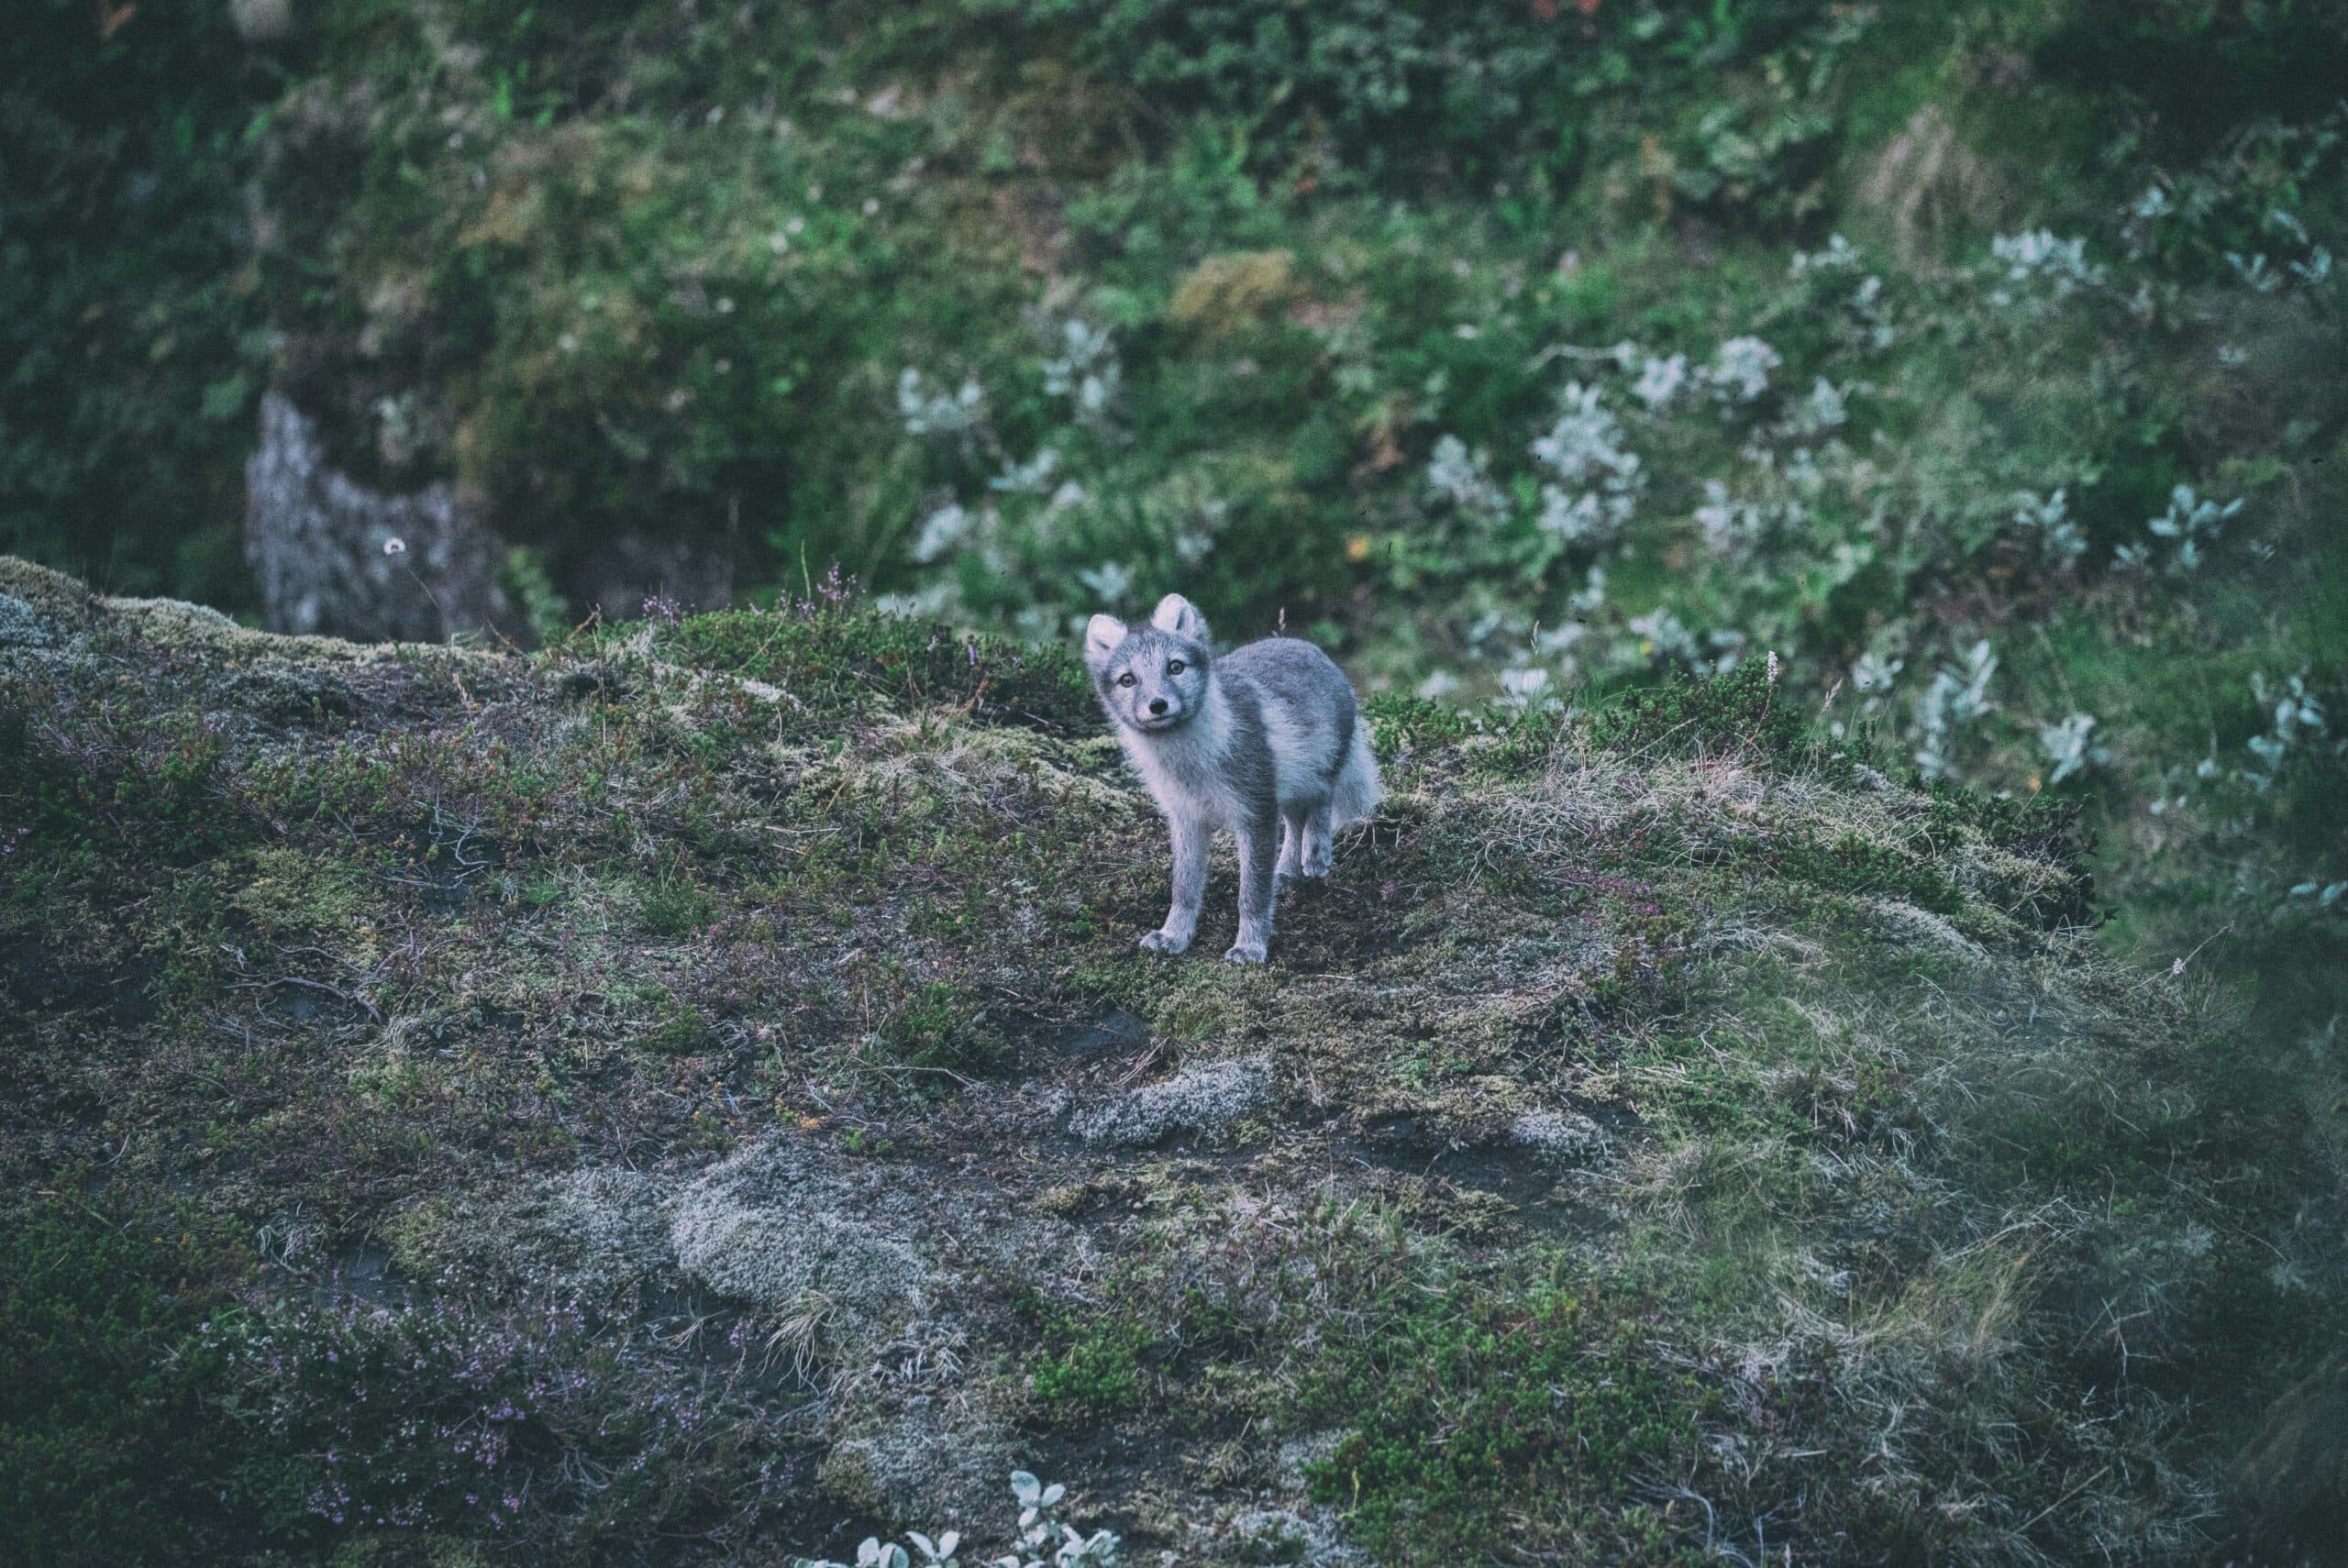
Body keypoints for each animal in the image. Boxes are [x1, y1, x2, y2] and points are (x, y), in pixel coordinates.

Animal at [1085, 593, 1381, 964]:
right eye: (1128, 680)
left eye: (1175, 667)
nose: (1158, 704)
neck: (1191, 765)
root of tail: (1310, 647)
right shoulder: (1186, 818)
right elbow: (1184, 889)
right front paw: (1173, 936)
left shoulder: (1254, 812)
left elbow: (1252, 894)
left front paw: (1250, 946)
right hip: (1283, 788)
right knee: (1294, 823)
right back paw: (1286, 871)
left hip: (1315, 769)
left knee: (1321, 800)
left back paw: (1315, 854)